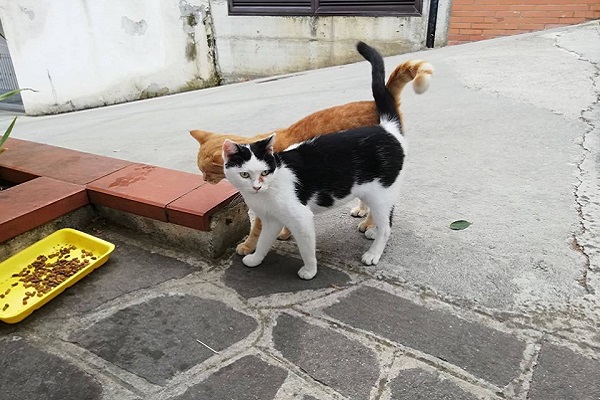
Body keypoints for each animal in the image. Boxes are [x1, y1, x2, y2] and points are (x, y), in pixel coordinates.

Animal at [192, 58, 432, 255]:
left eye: (205, 171)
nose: (203, 179)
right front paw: (285, 233)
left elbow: (257, 229)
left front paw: (249, 246)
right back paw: (362, 211)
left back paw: (371, 226)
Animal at [224, 40, 408, 278]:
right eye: (245, 174)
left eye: (265, 171)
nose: (257, 186)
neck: (268, 191)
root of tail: (387, 127)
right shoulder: (272, 220)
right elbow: (264, 241)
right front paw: (255, 259)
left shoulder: (301, 219)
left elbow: (306, 248)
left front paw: (310, 271)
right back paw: (374, 233)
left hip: (381, 193)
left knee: (387, 226)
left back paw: (374, 252)